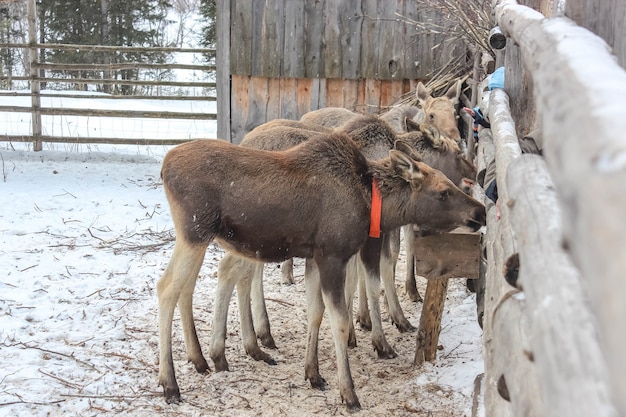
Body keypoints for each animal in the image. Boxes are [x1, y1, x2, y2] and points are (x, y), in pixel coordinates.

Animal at [155, 130, 482, 410]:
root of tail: (164, 166)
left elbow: (315, 313)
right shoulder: (332, 256)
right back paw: (170, 383)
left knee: (190, 287)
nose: (479, 211)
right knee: (167, 288)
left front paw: (313, 374)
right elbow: (340, 321)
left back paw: (201, 359)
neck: (370, 201)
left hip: (208, 239)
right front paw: (348, 392)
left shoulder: (314, 257)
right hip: (195, 233)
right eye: (443, 192)